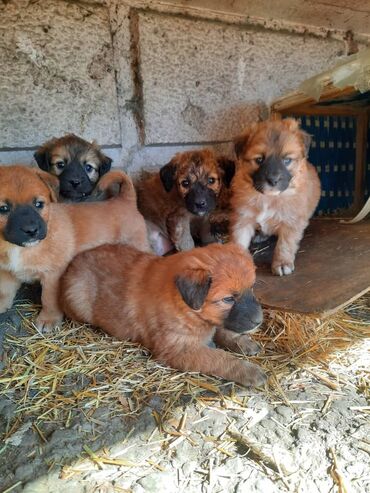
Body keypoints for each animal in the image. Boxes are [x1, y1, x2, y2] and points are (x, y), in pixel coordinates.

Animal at [0, 165, 151, 330]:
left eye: (39, 204)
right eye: (3, 208)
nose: (31, 230)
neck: (20, 248)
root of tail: (125, 200)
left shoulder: (53, 275)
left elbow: (48, 299)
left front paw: (49, 320)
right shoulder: (6, 271)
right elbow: (5, 291)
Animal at [60, 243, 268, 388]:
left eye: (251, 287)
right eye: (228, 299)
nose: (259, 321)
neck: (185, 305)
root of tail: (74, 262)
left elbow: (223, 330)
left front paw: (243, 342)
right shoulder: (177, 349)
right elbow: (218, 358)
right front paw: (249, 371)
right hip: (78, 301)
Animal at [231, 117, 320, 274]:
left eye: (287, 160)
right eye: (259, 160)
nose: (273, 180)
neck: (268, 198)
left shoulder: (291, 221)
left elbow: (285, 244)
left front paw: (282, 263)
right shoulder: (243, 219)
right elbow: (239, 241)